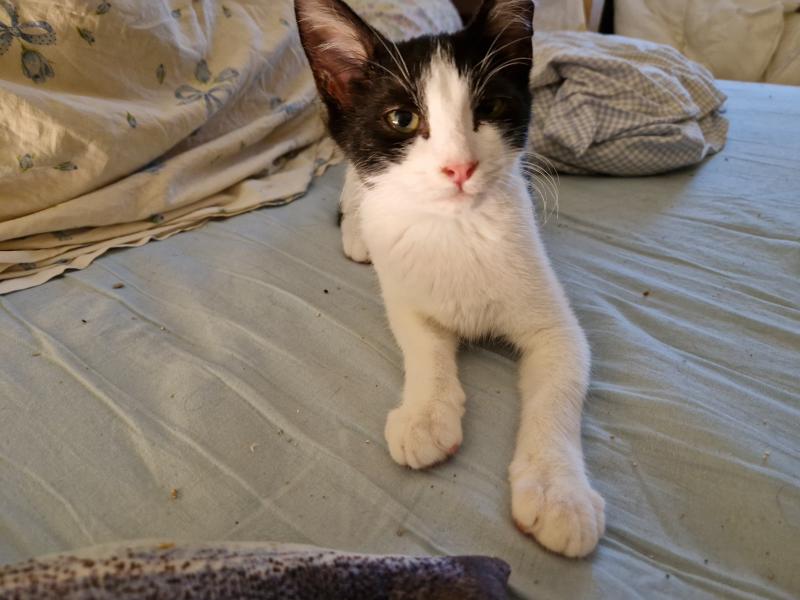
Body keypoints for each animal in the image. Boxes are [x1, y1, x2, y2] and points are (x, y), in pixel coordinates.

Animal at [295, 0, 605, 557]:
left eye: (491, 107)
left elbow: (558, 391)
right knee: (353, 182)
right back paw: (356, 230)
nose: (460, 166)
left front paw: (558, 491)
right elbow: (423, 343)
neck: (456, 229)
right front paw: (425, 414)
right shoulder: (403, 292)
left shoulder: (557, 328)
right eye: (402, 118)